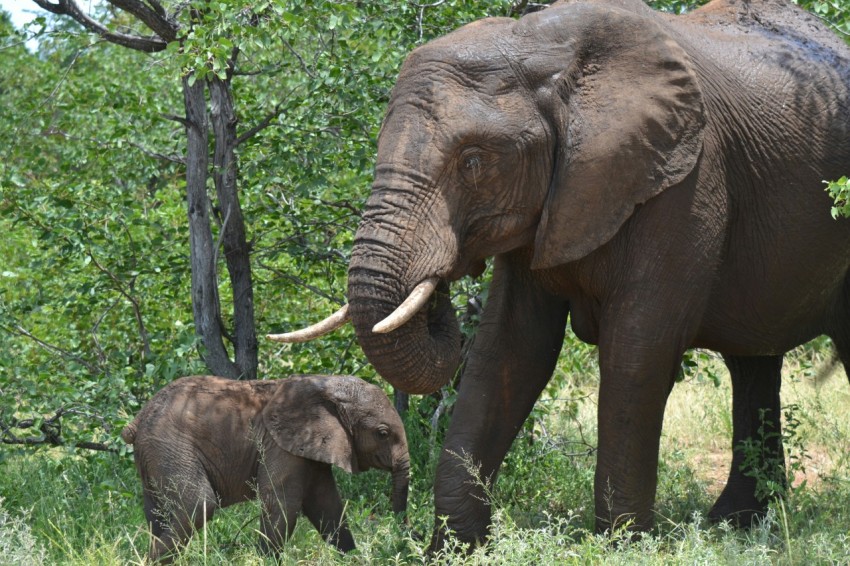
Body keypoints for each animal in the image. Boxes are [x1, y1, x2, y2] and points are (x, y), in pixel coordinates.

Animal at [121, 374, 410, 564]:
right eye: (383, 433)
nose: (407, 540)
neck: (323, 386)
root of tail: (138, 419)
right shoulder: (279, 444)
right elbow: (283, 503)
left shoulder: (309, 445)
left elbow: (326, 504)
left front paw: (351, 558)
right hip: (170, 445)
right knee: (198, 503)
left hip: (155, 454)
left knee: (157, 511)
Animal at [268, 0, 844, 552]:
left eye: (473, 161)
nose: (444, 279)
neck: (541, 48)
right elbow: (510, 350)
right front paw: (454, 549)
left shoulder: (687, 181)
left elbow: (639, 350)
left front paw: (623, 544)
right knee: (753, 360)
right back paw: (737, 523)